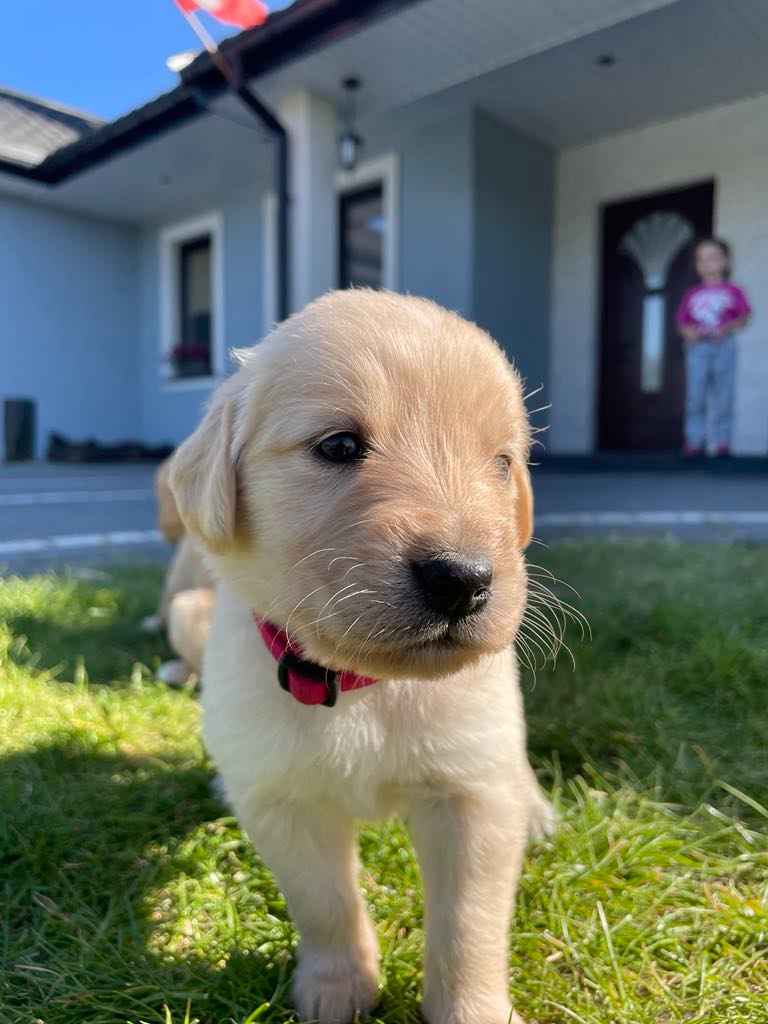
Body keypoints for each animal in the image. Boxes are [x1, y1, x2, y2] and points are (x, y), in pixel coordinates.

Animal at [168, 288, 552, 1024]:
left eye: (501, 463)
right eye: (340, 446)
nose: (462, 579)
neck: (363, 682)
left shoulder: (471, 797)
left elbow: (469, 924)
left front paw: (471, 1009)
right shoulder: (285, 803)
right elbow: (324, 902)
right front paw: (337, 985)